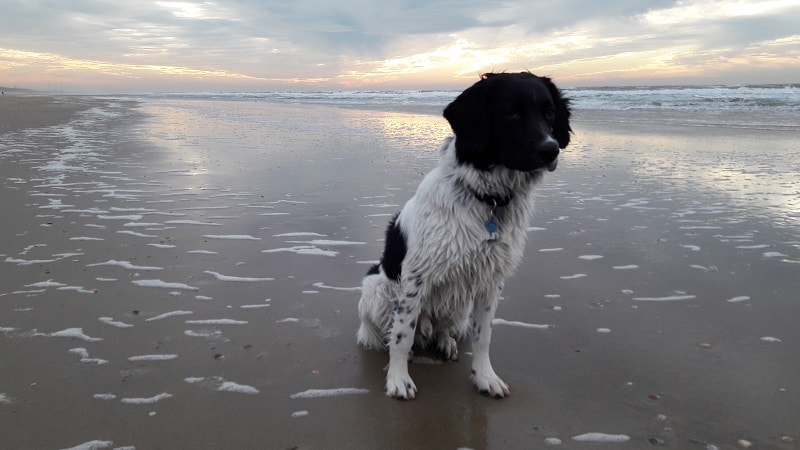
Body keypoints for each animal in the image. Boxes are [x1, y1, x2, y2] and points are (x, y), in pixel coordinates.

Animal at [357, 72, 572, 400]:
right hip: (377, 288)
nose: (551, 150)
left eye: (549, 113)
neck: (489, 200)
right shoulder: (415, 277)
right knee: (396, 328)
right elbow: (402, 336)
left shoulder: (490, 279)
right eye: (511, 112)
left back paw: (444, 340)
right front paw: (398, 379)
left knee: (442, 326)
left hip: (459, 304)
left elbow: (483, 338)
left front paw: (485, 377)